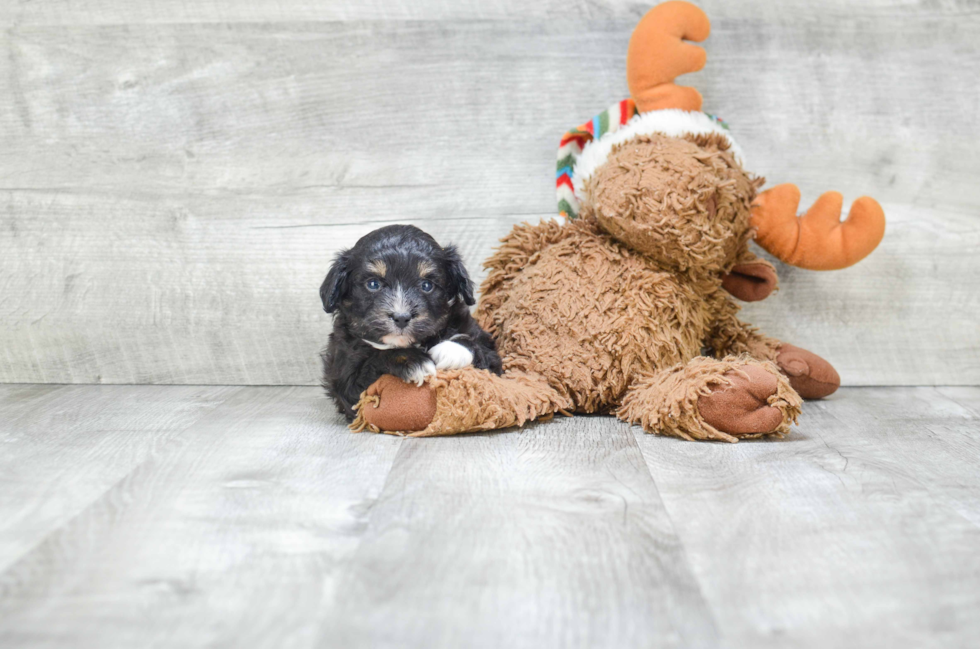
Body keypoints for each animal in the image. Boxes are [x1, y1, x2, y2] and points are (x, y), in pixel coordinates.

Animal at [322, 225, 502, 422]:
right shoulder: (345, 377)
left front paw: (451, 350)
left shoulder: (487, 350)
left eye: (426, 285)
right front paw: (413, 361)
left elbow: (480, 348)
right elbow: (374, 361)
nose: (401, 317)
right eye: (373, 284)